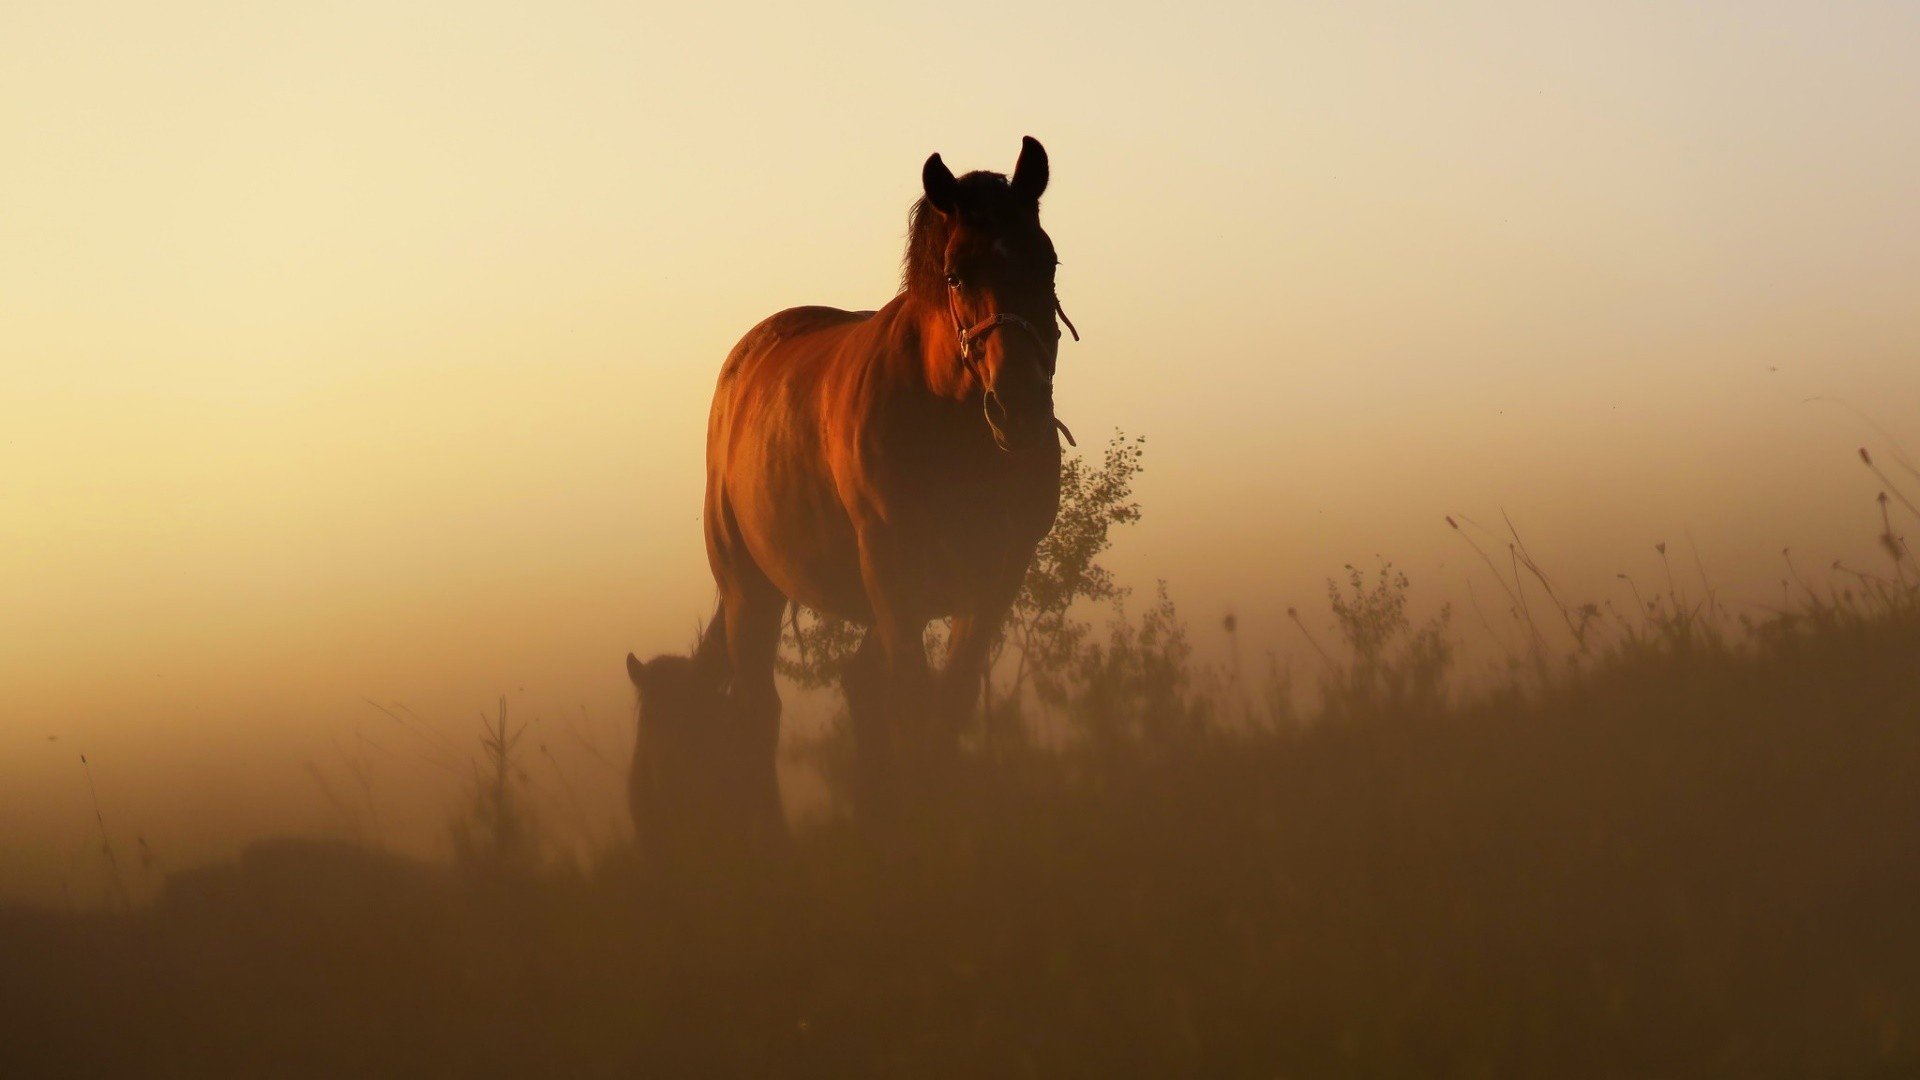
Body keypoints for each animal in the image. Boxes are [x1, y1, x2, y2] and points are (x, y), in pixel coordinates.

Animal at [698, 136, 1075, 814]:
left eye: (1048, 264)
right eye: (955, 274)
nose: (1021, 408)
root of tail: (746, 360)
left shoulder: (995, 576)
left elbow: (946, 708)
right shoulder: (893, 573)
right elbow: (913, 704)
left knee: (857, 688)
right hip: (748, 589)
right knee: (758, 713)